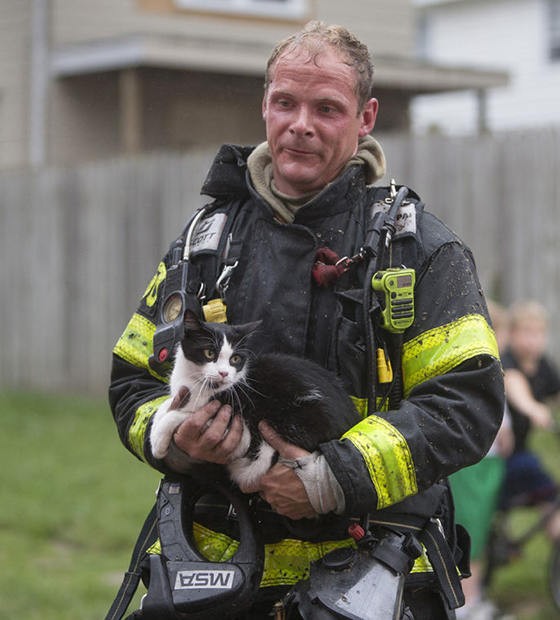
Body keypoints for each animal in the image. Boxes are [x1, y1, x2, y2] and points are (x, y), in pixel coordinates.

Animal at [150, 312, 358, 492]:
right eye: (209, 353)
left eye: (235, 359)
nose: (224, 373)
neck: (199, 384)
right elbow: (167, 405)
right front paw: (157, 423)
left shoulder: (239, 421)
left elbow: (183, 415)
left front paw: (158, 442)